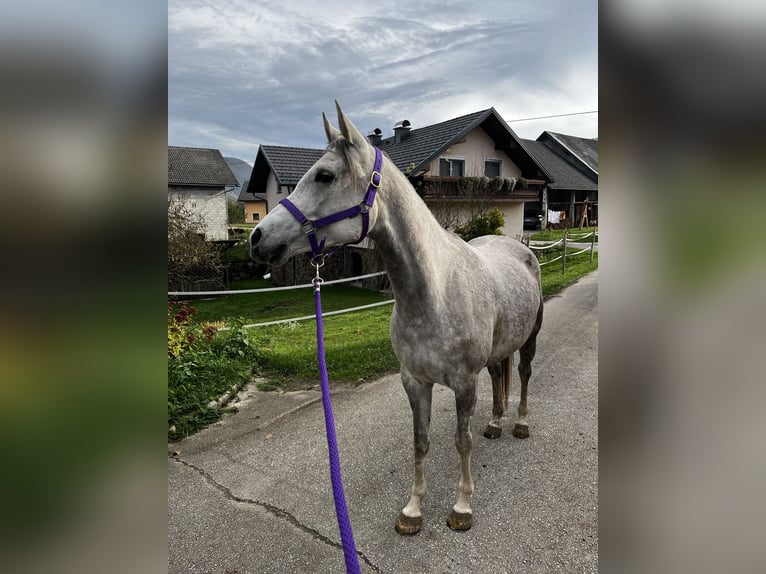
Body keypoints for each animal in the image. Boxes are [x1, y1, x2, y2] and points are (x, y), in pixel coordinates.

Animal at [249, 102, 544, 536]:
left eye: (325, 175)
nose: (257, 238)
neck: (434, 293)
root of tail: (517, 247)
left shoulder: (464, 384)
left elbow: (462, 441)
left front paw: (462, 507)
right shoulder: (414, 381)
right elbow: (420, 442)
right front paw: (413, 510)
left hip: (530, 338)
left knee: (522, 375)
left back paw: (520, 424)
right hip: (497, 350)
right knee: (498, 375)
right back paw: (494, 423)